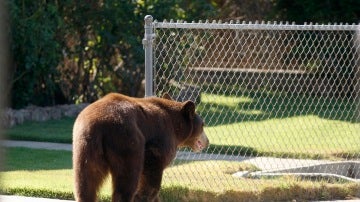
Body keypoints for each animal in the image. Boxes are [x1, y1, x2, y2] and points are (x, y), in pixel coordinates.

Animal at [72, 92, 208, 201]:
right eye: (203, 125)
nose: (207, 141)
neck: (176, 127)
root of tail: (99, 127)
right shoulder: (160, 138)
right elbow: (151, 176)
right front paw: (143, 197)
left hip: (84, 146)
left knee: (86, 182)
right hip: (127, 141)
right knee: (127, 179)